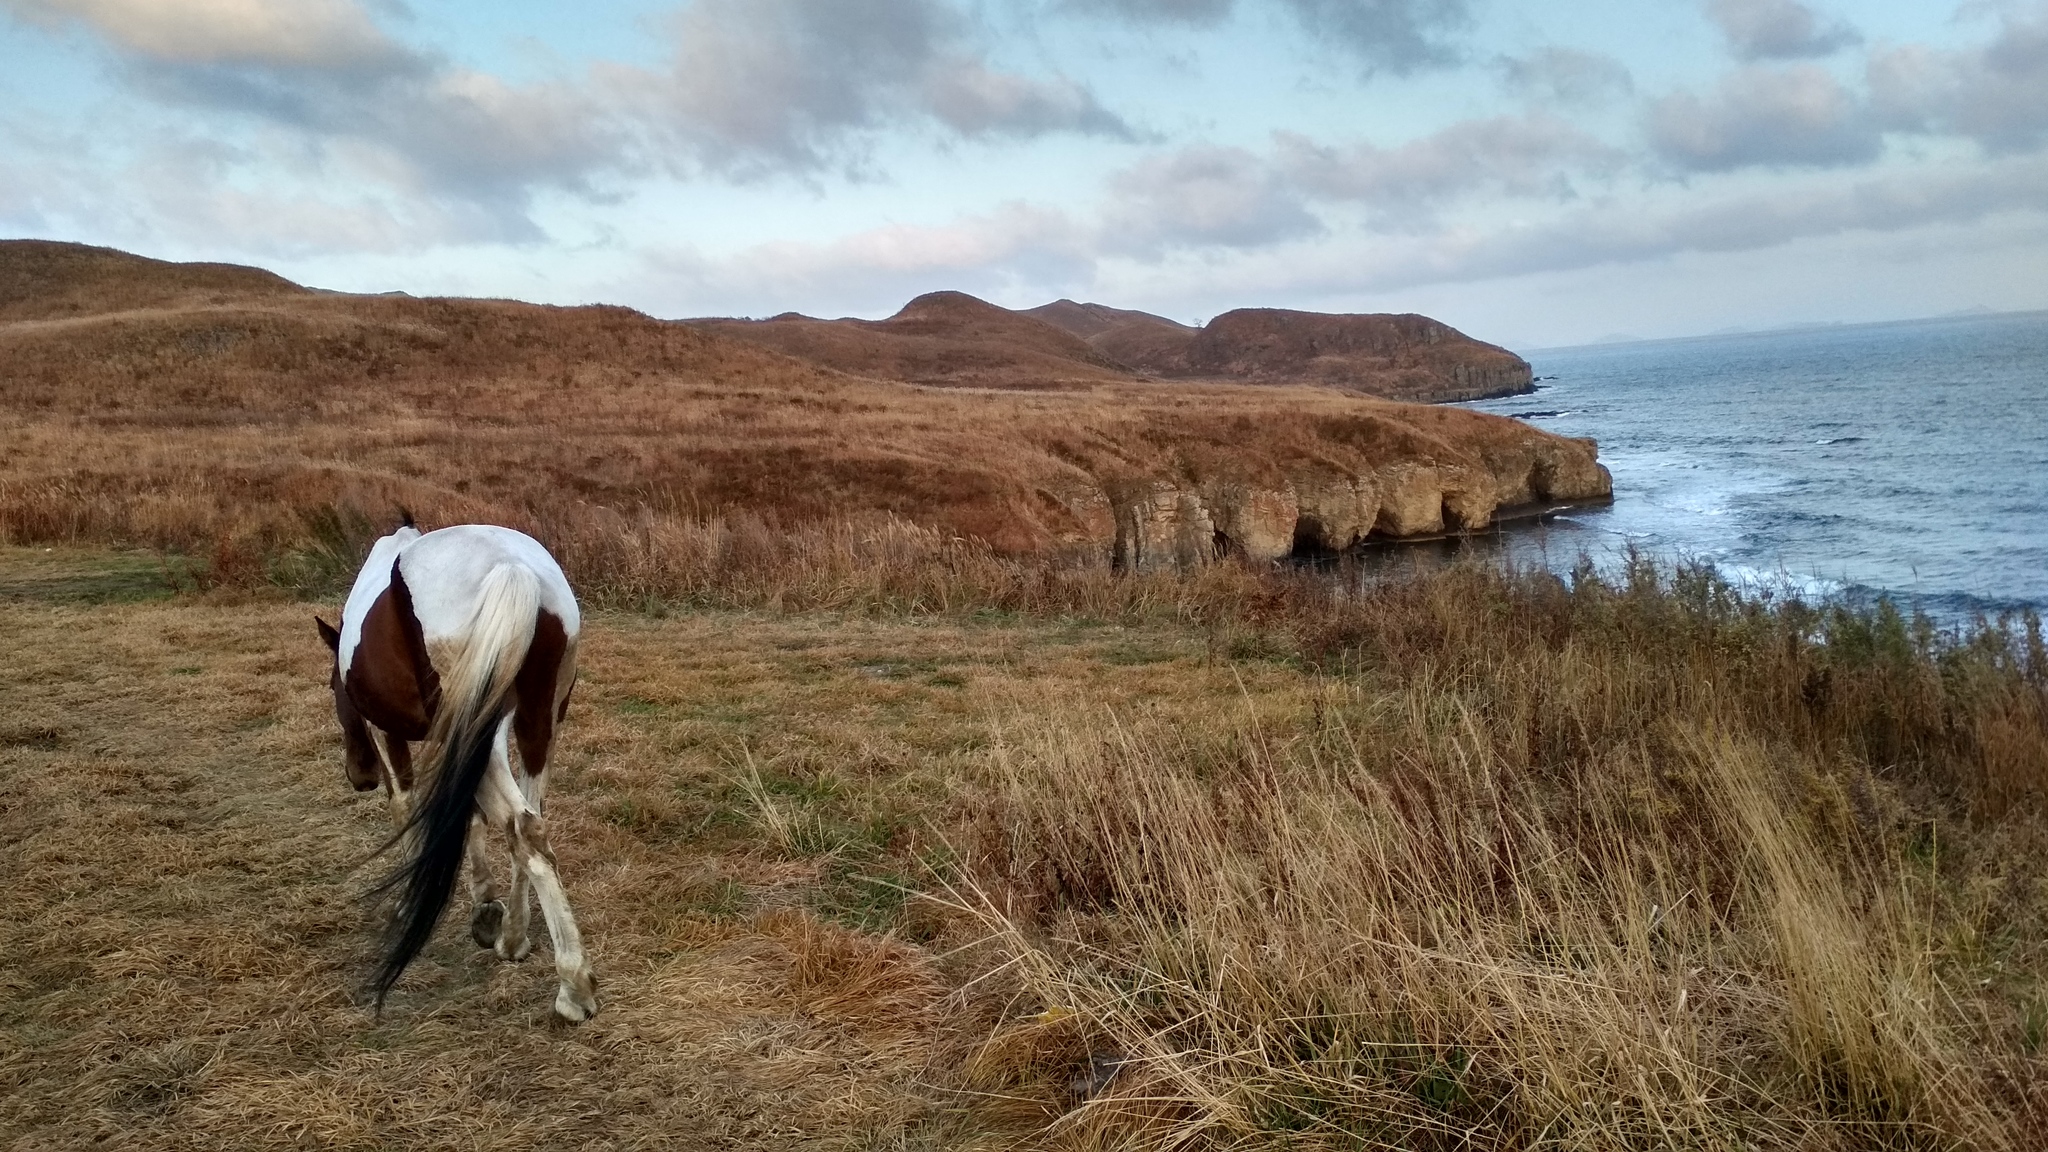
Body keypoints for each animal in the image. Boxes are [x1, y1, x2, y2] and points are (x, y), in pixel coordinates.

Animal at [311, 516, 598, 1016]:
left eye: (334, 687)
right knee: (532, 823)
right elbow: (473, 813)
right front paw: (485, 904)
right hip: (535, 721)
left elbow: (405, 803)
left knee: (522, 826)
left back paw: (572, 985)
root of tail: (510, 567)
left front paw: (409, 904)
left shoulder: (390, 732)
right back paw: (515, 940)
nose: (359, 776)